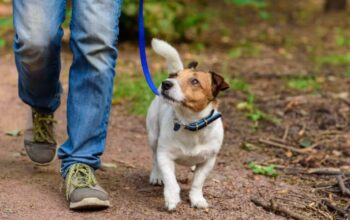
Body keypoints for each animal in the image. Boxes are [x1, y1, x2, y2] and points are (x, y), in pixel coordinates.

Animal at [146, 38, 230, 211]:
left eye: (195, 81)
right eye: (175, 76)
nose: (166, 83)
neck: (190, 124)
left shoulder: (208, 161)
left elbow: (198, 182)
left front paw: (197, 199)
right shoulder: (165, 156)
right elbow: (171, 181)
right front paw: (172, 198)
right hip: (153, 136)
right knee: (154, 157)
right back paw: (156, 175)